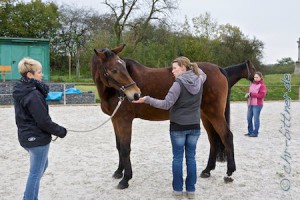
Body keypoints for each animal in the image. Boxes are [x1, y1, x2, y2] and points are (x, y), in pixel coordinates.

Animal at [92, 45, 253, 189]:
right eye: (114, 70)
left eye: (124, 68)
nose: (136, 94)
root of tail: (218, 69)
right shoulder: (115, 120)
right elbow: (119, 146)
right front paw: (119, 172)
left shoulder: (124, 120)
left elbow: (125, 148)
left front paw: (125, 179)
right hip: (206, 116)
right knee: (213, 139)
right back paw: (207, 171)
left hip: (215, 114)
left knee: (227, 136)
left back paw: (229, 172)